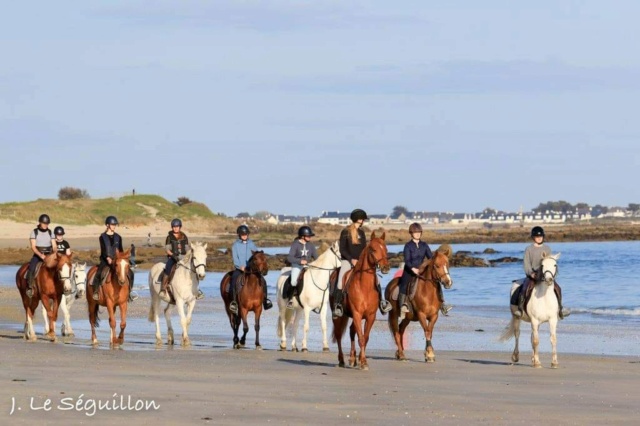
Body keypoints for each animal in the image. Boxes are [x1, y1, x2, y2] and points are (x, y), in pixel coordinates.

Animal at [330, 233, 390, 370]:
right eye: (373, 249)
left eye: (385, 248)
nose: (386, 267)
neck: (365, 286)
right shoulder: (357, 314)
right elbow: (361, 338)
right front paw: (363, 362)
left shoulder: (370, 316)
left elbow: (365, 338)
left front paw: (362, 361)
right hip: (337, 316)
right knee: (339, 335)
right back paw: (341, 360)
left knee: (352, 331)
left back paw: (352, 358)